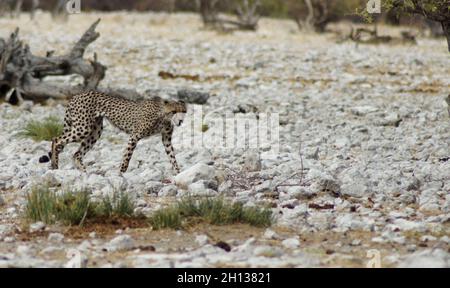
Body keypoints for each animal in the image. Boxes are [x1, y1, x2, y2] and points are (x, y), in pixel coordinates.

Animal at [43, 91, 186, 174]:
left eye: (183, 111)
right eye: (173, 111)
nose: (181, 121)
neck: (163, 116)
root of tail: (77, 95)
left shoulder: (166, 139)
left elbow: (172, 157)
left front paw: (178, 173)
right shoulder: (135, 136)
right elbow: (127, 157)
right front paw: (120, 174)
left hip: (95, 131)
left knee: (77, 154)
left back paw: (84, 172)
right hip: (83, 128)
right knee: (56, 139)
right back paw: (55, 165)